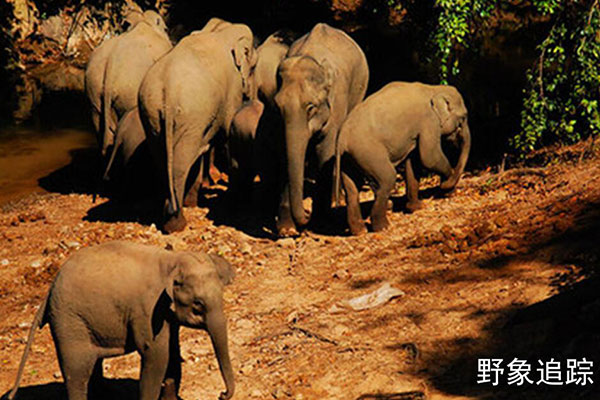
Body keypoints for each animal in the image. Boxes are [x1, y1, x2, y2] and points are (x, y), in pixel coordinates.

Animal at [7, 241, 237, 400]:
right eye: (198, 306)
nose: (221, 394)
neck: (173, 259)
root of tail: (48, 292)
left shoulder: (164, 314)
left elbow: (173, 352)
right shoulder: (147, 311)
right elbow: (156, 355)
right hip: (68, 320)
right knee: (77, 371)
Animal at [83, 9, 171, 156]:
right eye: (166, 29)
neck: (143, 23)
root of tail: (111, 66)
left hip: (93, 87)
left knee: (102, 124)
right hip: (129, 89)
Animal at [141, 18, 258, 233]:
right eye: (254, 68)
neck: (223, 31)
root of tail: (167, 90)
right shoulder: (231, 93)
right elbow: (227, 137)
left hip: (152, 114)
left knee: (164, 157)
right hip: (190, 113)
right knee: (180, 162)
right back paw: (177, 223)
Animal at [274, 23, 368, 236]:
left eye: (311, 107)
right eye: (277, 107)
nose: (306, 216)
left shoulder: (336, 105)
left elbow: (325, 152)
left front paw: (318, 223)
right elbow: (286, 154)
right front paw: (287, 230)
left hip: (359, 89)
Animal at [332, 83, 474, 236]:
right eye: (463, 117)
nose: (446, 187)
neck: (433, 89)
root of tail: (341, 138)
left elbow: (413, 162)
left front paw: (416, 208)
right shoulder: (428, 122)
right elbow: (429, 157)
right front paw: (448, 188)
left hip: (349, 159)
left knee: (352, 191)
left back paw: (360, 231)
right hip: (368, 152)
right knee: (387, 178)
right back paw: (383, 227)